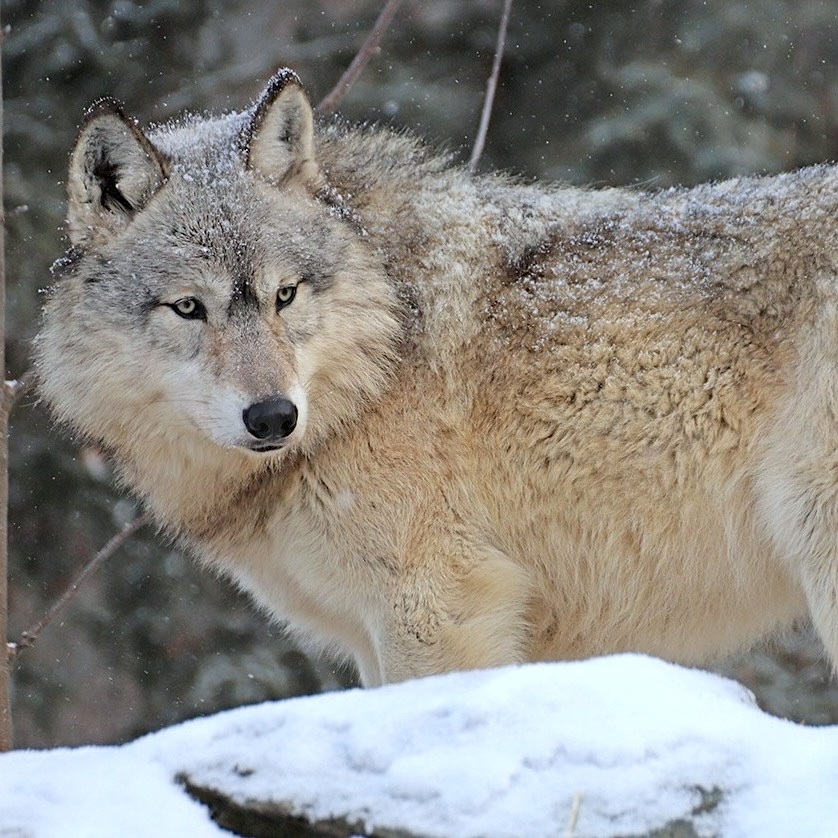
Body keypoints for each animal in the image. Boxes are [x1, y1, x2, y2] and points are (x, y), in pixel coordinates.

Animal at [35, 68, 838, 686]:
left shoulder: (435, 606)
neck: (379, 362)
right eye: (188, 307)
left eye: (284, 295)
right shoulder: (371, 635)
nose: (272, 418)